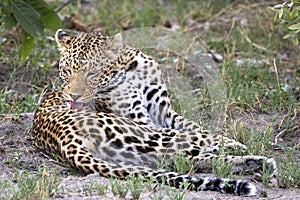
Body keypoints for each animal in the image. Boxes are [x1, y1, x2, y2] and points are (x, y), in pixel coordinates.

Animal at [33, 90, 276, 196]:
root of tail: (66, 139)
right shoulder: (151, 123)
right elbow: (202, 133)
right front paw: (232, 141)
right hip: (144, 135)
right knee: (193, 151)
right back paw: (254, 159)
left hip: (134, 150)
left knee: (193, 158)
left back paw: (254, 163)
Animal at [55, 29, 206, 133]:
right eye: (67, 70)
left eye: (92, 73)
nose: (74, 96)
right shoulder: (141, 120)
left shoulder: (164, 111)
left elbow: (192, 126)